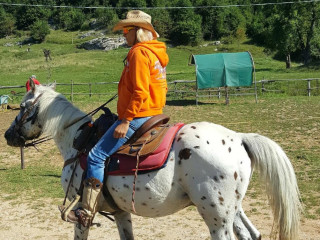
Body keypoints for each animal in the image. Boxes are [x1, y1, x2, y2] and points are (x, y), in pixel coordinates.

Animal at [3, 81, 302, 239]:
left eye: (22, 106)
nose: (8, 135)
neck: (78, 141)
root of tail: (239, 138)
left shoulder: (82, 212)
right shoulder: (120, 212)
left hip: (215, 215)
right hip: (232, 209)